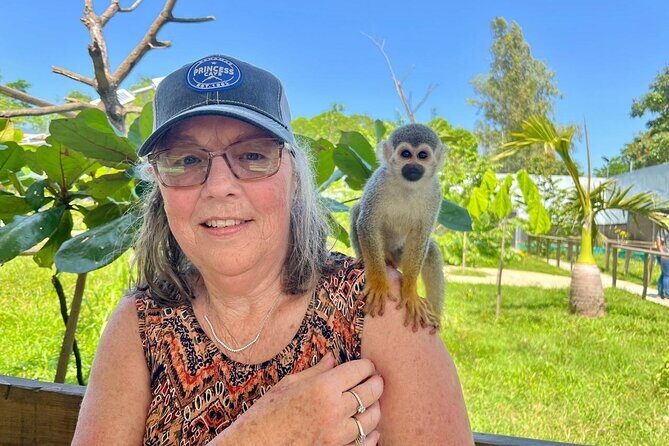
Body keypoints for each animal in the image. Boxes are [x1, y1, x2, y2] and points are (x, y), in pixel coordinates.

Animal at [349, 123, 446, 331]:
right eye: (406, 154)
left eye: (422, 155)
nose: (413, 166)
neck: (407, 186)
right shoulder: (379, 182)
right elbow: (367, 223)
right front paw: (379, 282)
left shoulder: (435, 193)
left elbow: (421, 236)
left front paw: (410, 291)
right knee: (357, 210)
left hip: (400, 254)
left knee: (431, 251)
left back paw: (435, 316)